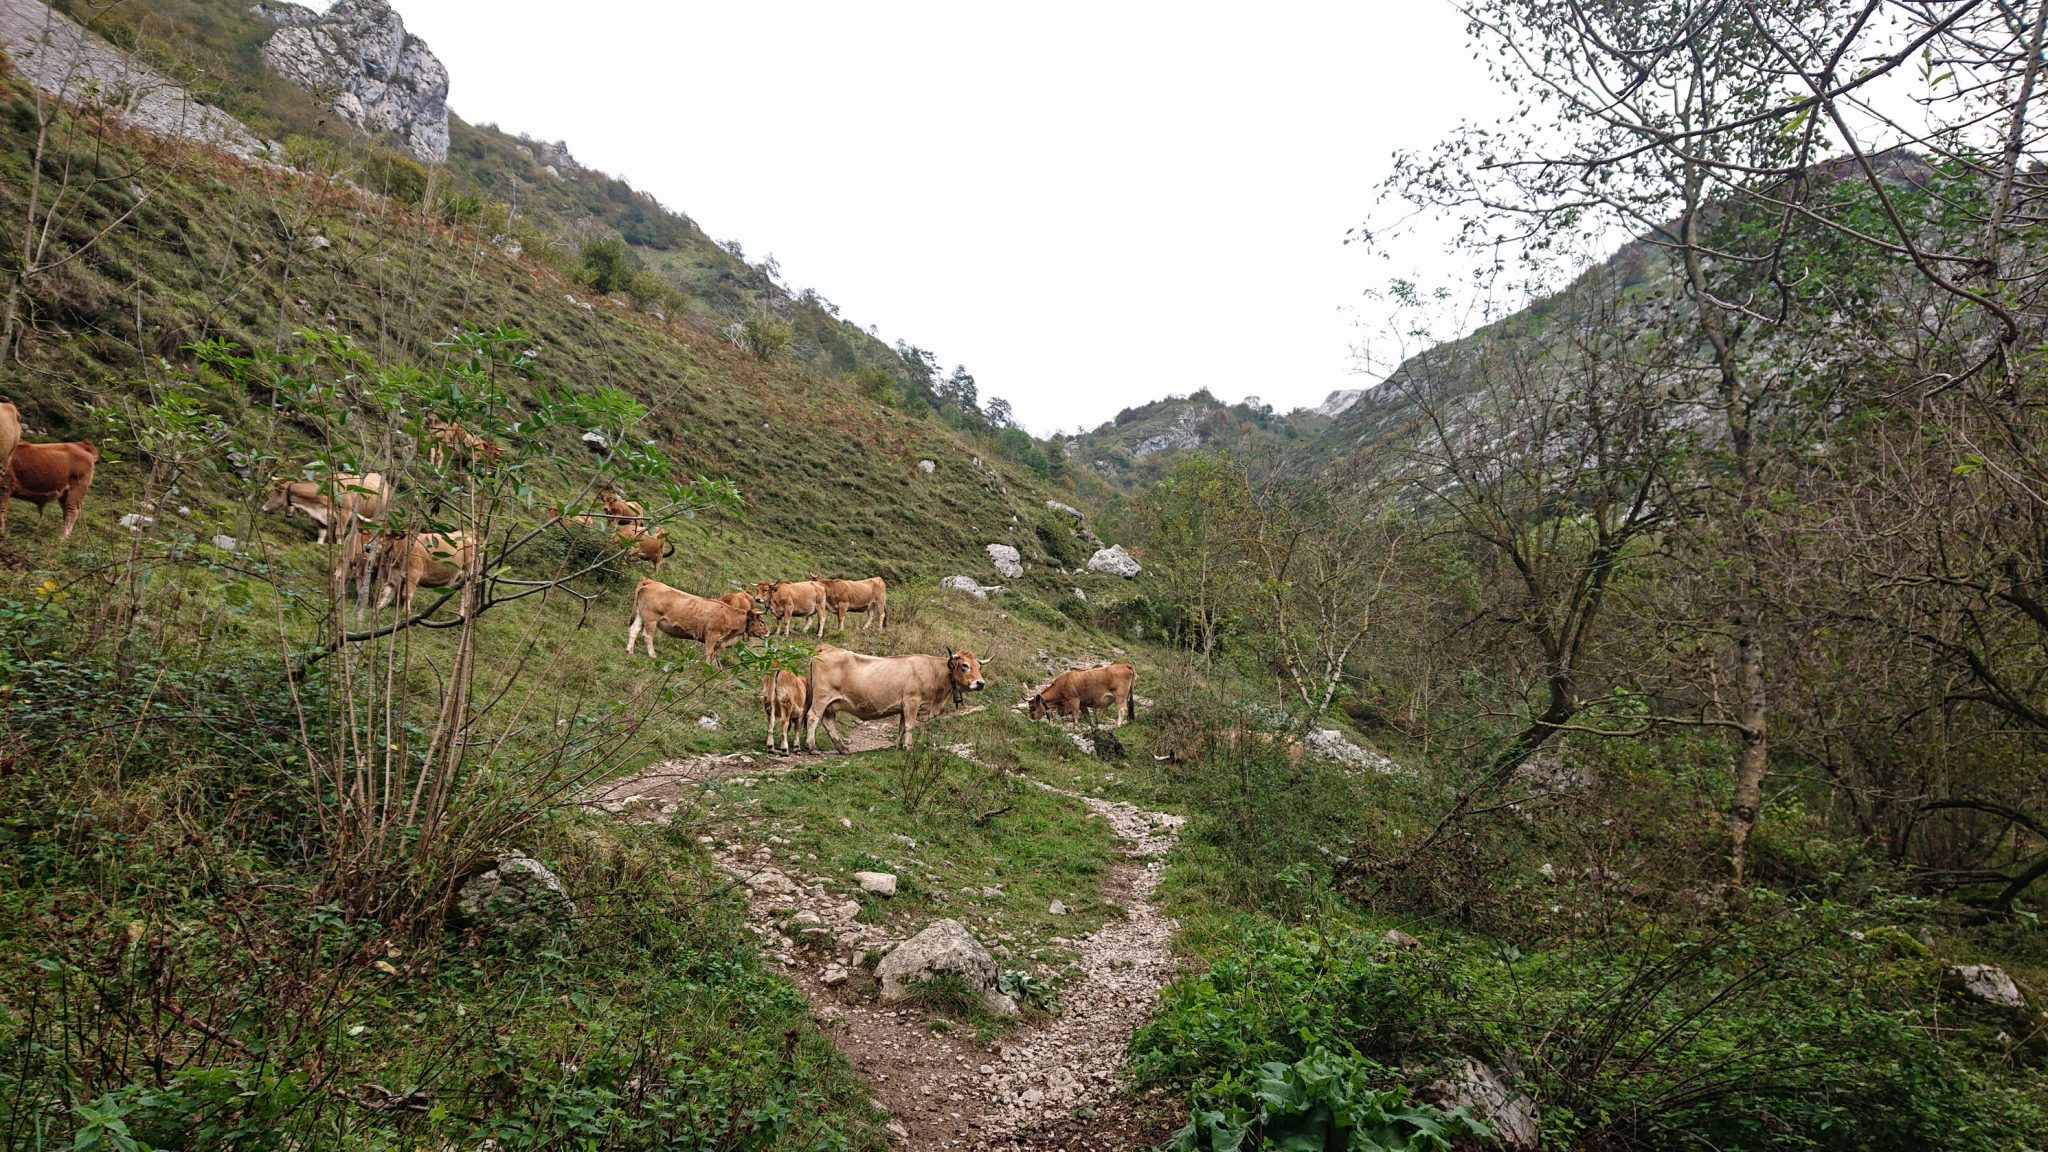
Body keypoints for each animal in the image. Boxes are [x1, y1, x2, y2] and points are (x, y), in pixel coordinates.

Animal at [624, 579, 767, 666]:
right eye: (762, 621)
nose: (768, 632)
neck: (729, 615)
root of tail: (651, 581)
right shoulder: (712, 634)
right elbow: (708, 652)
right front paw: (707, 666)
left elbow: (713, 654)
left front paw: (714, 666)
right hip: (651, 618)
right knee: (647, 635)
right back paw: (652, 655)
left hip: (640, 614)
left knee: (634, 630)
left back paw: (630, 651)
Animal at [804, 647, 989, 751]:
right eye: (964, 665)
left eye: (979, 667)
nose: (980, 683)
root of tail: (825, 650)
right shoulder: (912, 701)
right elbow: (910, 725)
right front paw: (908, 747)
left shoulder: (903, 707)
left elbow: (901, 726)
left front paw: (898, 746)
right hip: (822, 698)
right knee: (813, 717)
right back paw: (812, 747)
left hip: (832, 704)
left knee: (828, 722)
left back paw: (842, 748)